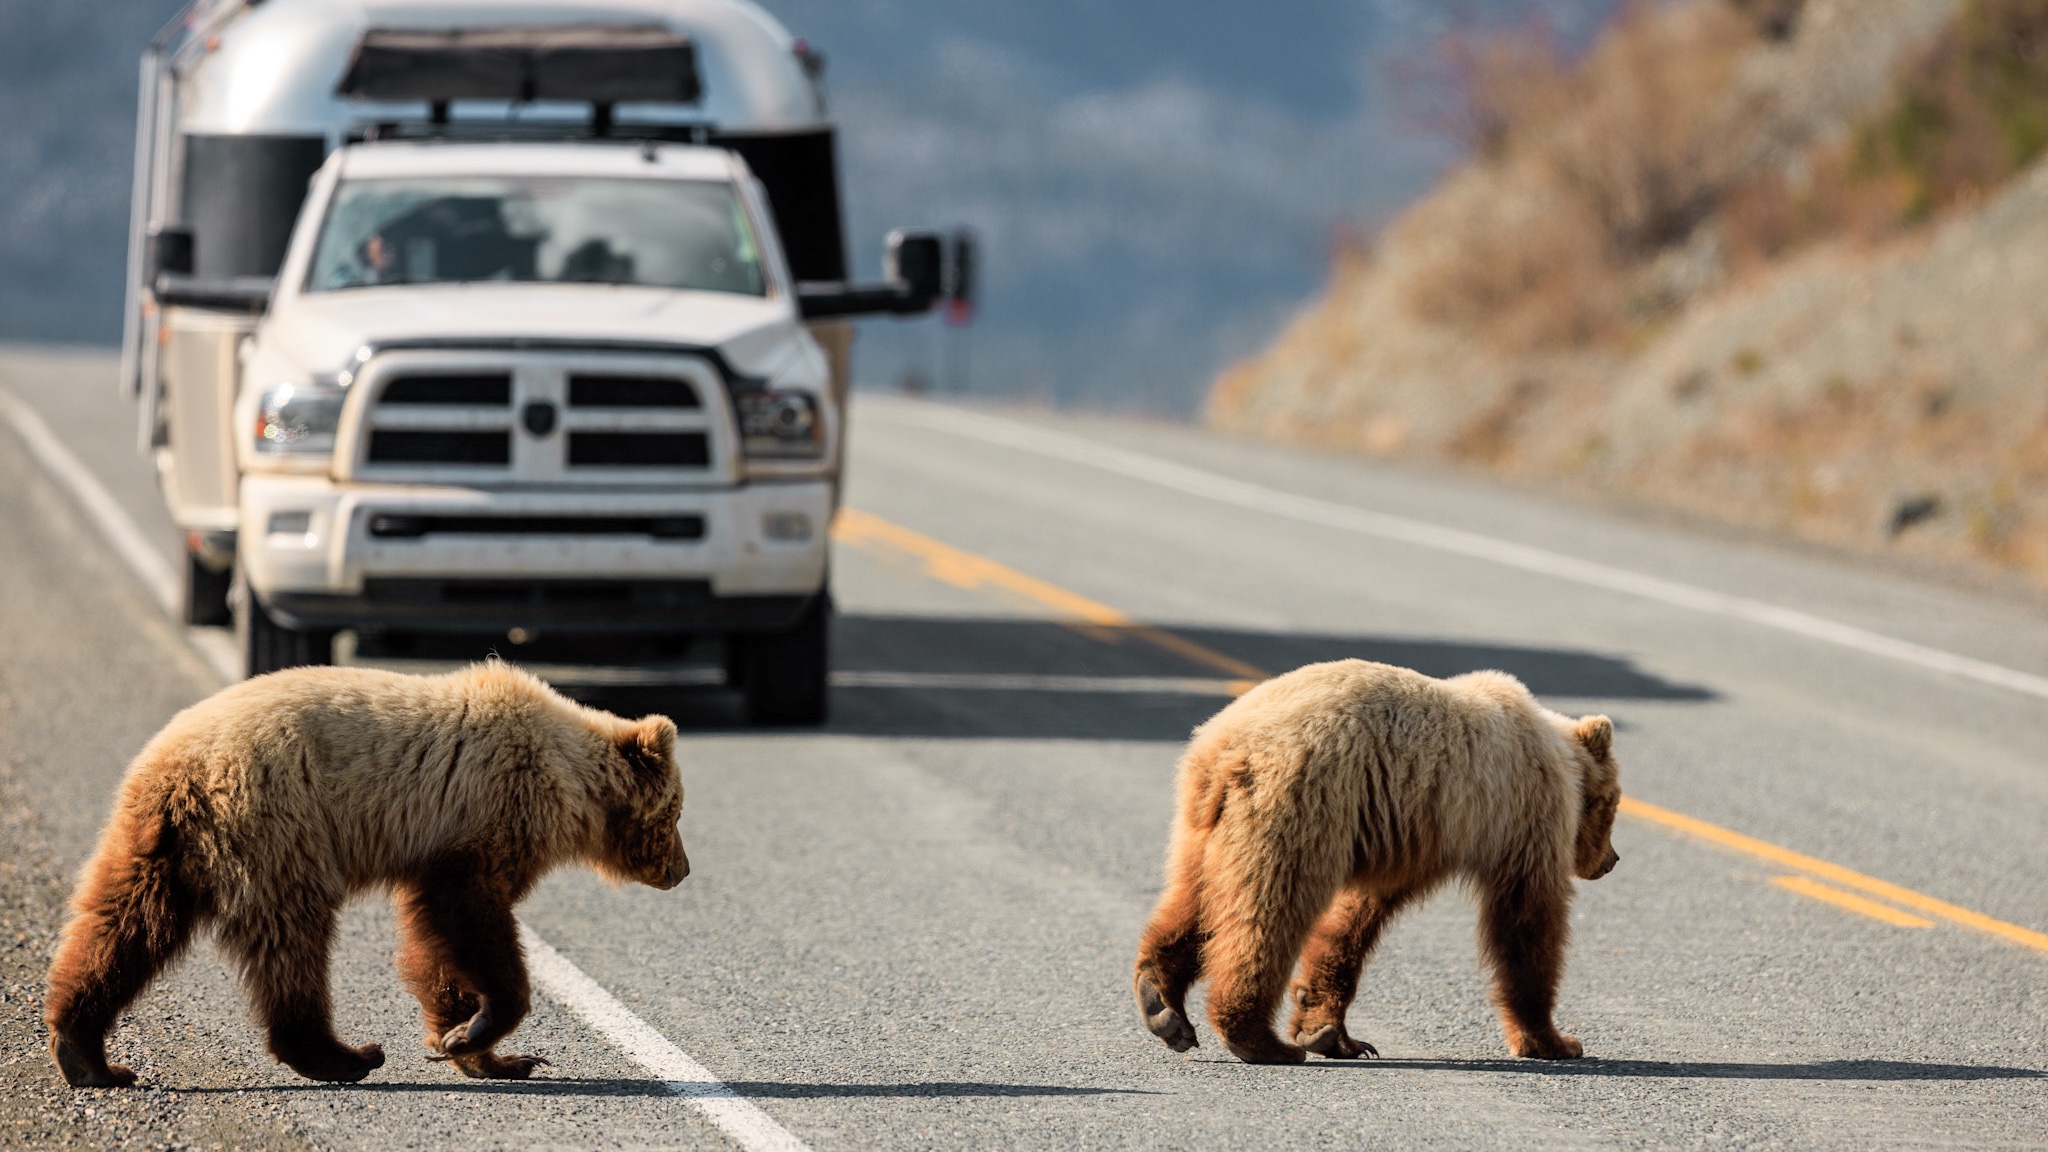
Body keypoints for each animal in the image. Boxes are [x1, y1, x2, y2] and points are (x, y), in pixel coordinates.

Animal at [44, 661, 689, 1088]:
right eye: (678, 813)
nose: (683, 870)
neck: (572, 783)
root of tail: (179, 766)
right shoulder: (489, 811)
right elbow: (470, 916)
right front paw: (483, 1030)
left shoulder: (439, 845)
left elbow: (435, 943)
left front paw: (477, 1047)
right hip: (277, 824)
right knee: (292, 942)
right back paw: (346, 1054)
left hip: (159, 845)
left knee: (123, 926)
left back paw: (88, 1053)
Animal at [1132, 659, 1621, 1065]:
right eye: (1615, 803)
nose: (1612, 860)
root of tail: (1227, 747)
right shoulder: (1522, 820)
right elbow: (1526, 922)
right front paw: (1556, 1040)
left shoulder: (1400, 830)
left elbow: (1351, 920)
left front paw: (1332, 1033)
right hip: (1298, 806)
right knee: (1267, 913)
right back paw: (1259, 1039)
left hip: (1206, 827)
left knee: (1196, 899)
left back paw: (1162, 1001)